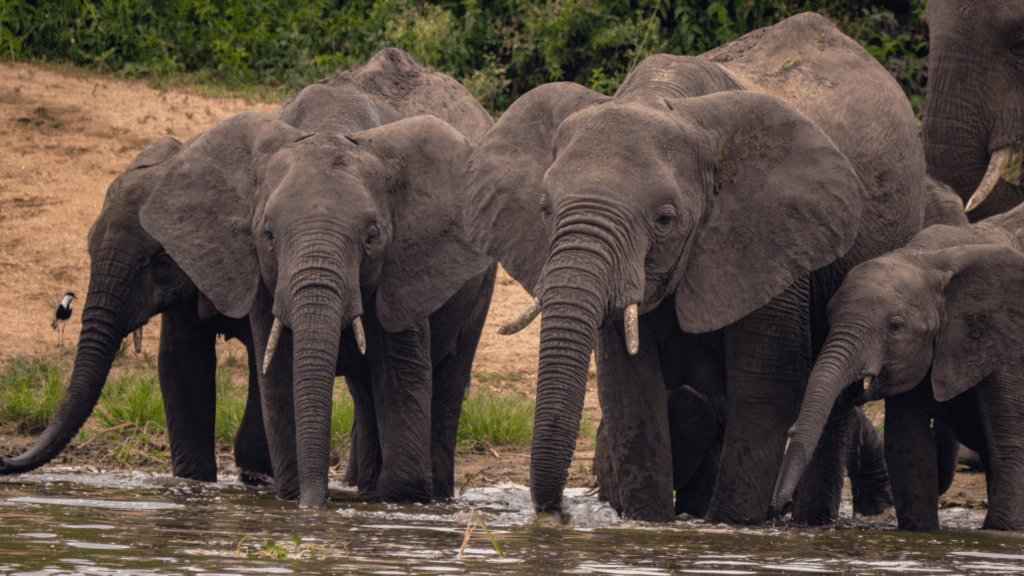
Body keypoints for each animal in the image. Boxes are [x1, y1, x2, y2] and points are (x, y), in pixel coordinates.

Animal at [139, 49, 495, 506]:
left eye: (372, 238)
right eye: (268, 235)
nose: (315, 505)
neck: (330, 126)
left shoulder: (405, 266)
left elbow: (402, 377)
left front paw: (399, 500)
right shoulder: (261, 275)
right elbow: (280, 375)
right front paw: (295, 497)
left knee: (448, 378)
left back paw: (435, 496)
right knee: (365, 392)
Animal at [464, 12, 929, 524]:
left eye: (665, 219)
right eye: (545, 209)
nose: (558, 514)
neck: (663, 99)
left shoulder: (771, 238)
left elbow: (766, 387)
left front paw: (731, 524)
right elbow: (630, 393)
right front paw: (648, 523)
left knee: (837, 398)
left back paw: (809, 522)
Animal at [770, 201, 1024, 528]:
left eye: (895, 326)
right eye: (828, 317)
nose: (782, 508)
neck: (929, 259)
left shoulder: (1006, 346)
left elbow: (1009, 441)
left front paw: (999, 531)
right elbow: (908, 445)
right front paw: (920, 531)